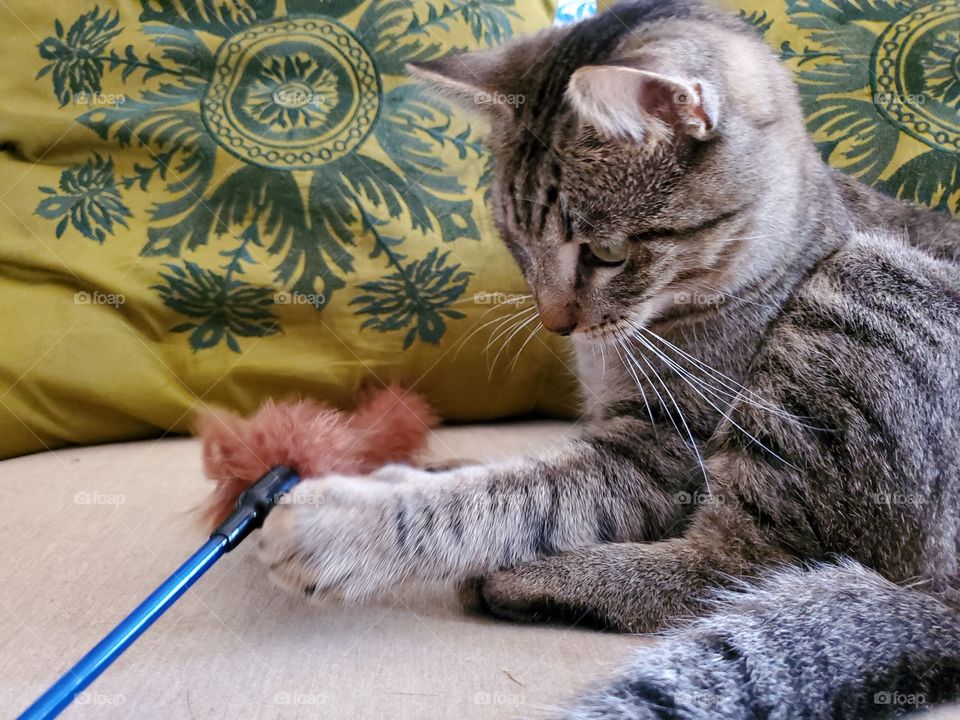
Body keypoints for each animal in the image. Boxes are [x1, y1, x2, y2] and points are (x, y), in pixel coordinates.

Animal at [255, 2, 960, 716]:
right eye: (515, 242)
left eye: (606, 254)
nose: (554, 321)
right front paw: (416, 470)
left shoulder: (667, 446)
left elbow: (525, 495)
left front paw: (349, 521)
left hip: (858, 295)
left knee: (737, 565)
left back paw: (536, 579)